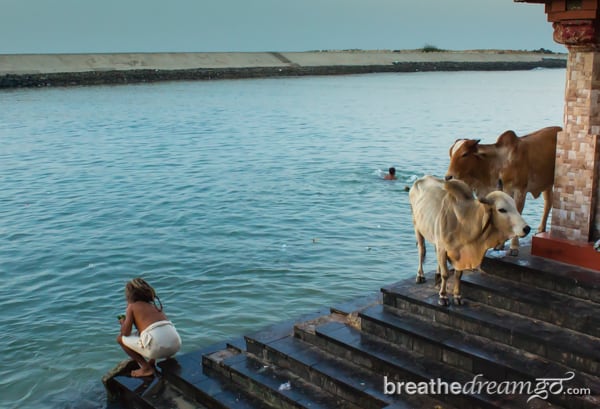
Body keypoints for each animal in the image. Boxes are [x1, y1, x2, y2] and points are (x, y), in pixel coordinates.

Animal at [408, 175, 528, 306]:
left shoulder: (459, 253)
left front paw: (457, 296)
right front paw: (443, 296)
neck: (465, 222)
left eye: (514, 206)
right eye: (502, 210)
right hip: (416, 226)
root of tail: (421, 179)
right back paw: (420, 276)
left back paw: (437, 274)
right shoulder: (443, 249)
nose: (526, 228)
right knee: (421, 250)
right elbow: (446, 274)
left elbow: (458, 275)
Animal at [446, 126, 556, 255]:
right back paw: (541, 229)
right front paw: (500, 244)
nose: (448, 177)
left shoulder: (519, 191)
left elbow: (516, 212)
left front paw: (514, 247)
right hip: (546, 184)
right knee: (549, 202)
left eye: (465, 154)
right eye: (450, 153)